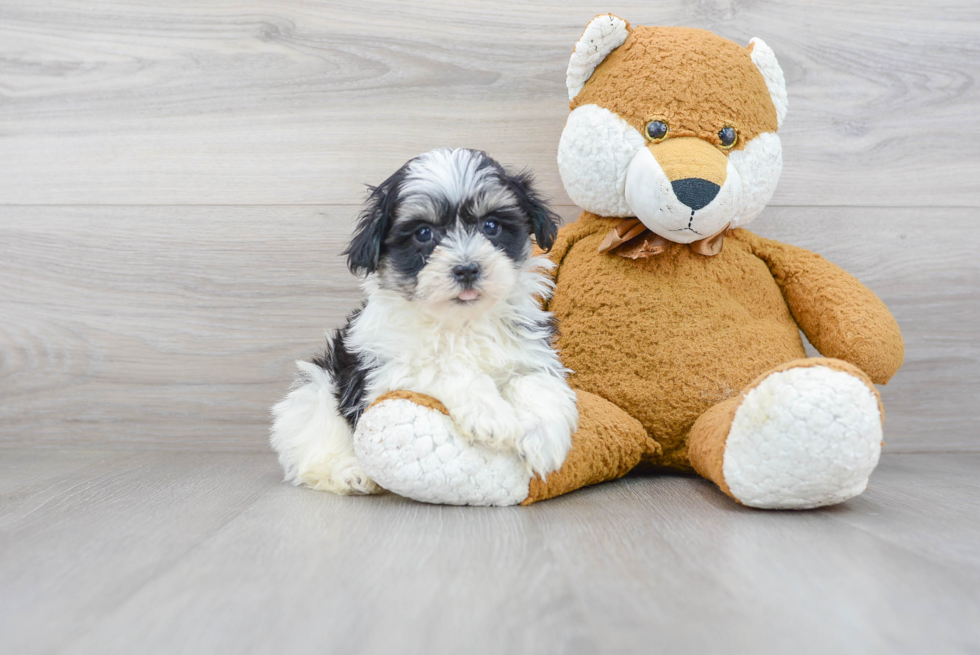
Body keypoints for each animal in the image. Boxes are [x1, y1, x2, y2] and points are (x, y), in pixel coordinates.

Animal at [270, 149, 576, 494]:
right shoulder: (385, 372)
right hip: (315, 389)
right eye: (423, 234)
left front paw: (542, 437)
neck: (460, 322)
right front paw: (490, 414)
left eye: (491, 226)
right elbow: (444, 367)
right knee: (315, 441)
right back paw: (350, 473)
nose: (467, 269)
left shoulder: (530, 348)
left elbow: (534, 380)